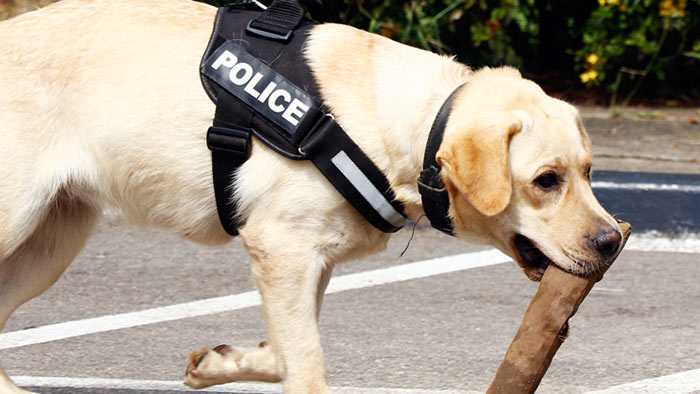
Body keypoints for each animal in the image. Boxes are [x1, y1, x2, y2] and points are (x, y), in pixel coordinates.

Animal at [0, 0, 624, 394]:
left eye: (590, 171)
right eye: (547, 180)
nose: (612, 241)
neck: (399, 125)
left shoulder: (306, 262)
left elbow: (282, 352)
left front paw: (219, 363)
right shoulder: (281, 250)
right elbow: (306, 367)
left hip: (53, 241)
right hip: (18, 220)